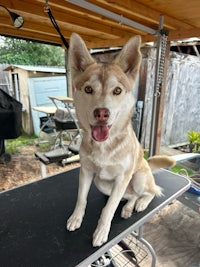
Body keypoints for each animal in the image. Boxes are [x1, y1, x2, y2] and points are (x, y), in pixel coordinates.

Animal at [66, 33, 174, 247]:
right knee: (130, 196)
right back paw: (128, 206)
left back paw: (140, 203)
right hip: (102, 182)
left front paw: (101, 232)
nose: (101, 113)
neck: (104, 146)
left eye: (116, 91)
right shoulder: (87, 172)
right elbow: (81, 199)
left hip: (137, 178)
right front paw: (76, 218)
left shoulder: (122, 177)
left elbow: (108, 209)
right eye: (88, 89)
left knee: (150, 192)